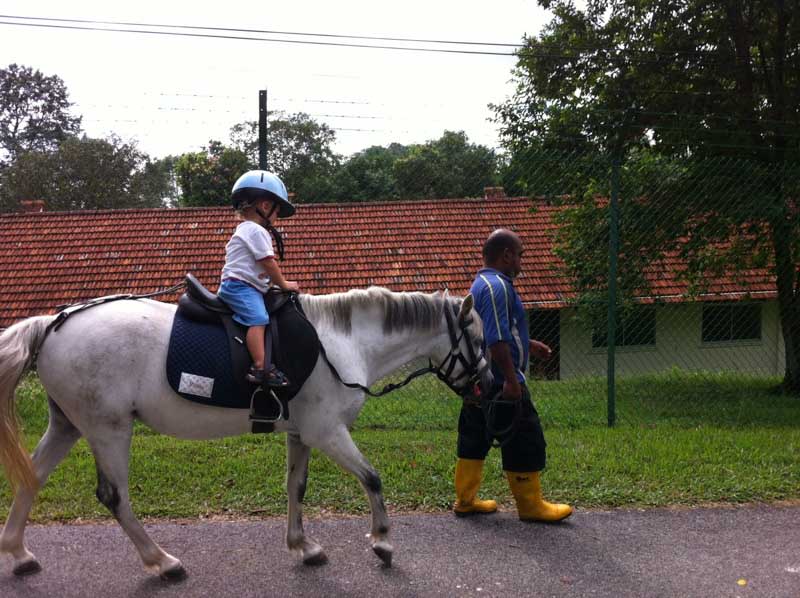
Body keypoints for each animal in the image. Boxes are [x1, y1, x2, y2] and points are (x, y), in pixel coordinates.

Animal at [0, 288, 488, 580]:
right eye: (480, 341)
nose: (488, 384)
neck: (341, 344)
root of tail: (54, 323)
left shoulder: (302, 434)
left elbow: (296, 488)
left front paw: (303, 547)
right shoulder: (328, 432)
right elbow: (372, 478)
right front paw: (382, 542)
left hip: (68, 425)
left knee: (32, 479)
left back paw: (19, 553)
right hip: (108, 429)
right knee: (114, 496)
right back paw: (162, 561)